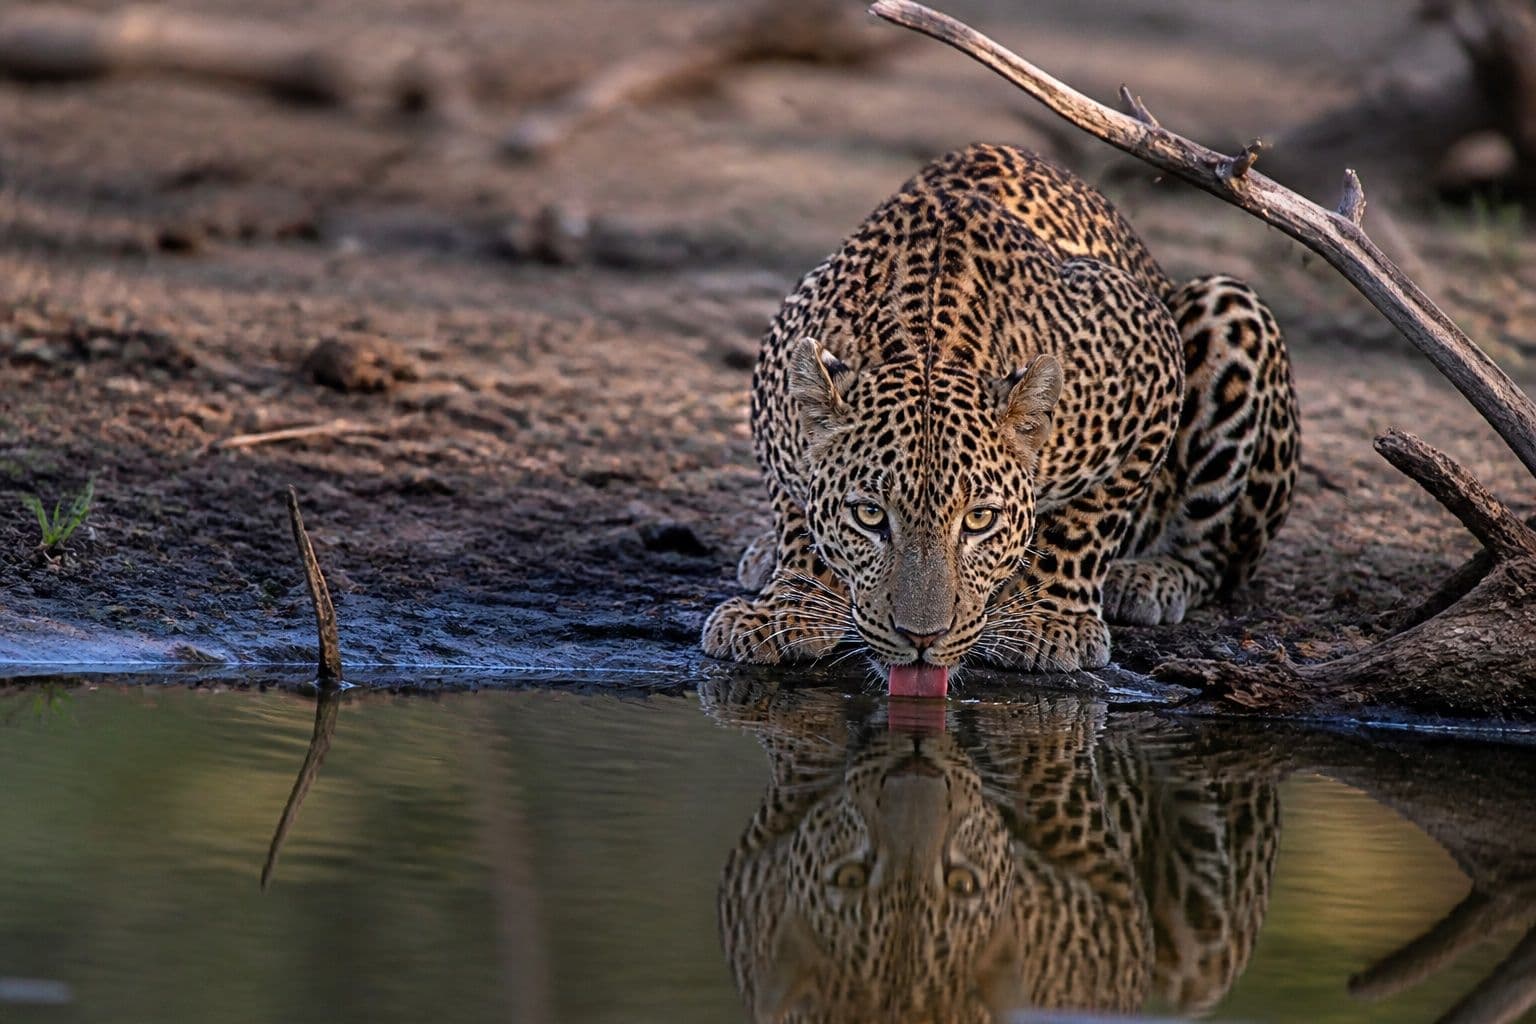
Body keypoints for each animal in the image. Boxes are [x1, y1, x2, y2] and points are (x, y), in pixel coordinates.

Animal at [701, 143, 1298, 692]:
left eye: (979, 520)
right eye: (870, 516)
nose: (923, 639)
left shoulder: (1151, 355)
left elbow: (1089, 519)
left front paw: (1049, 619)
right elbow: (797, 517)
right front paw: (786, 607)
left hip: (1230, 306)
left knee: (1217, 556)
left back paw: (1149, 577)